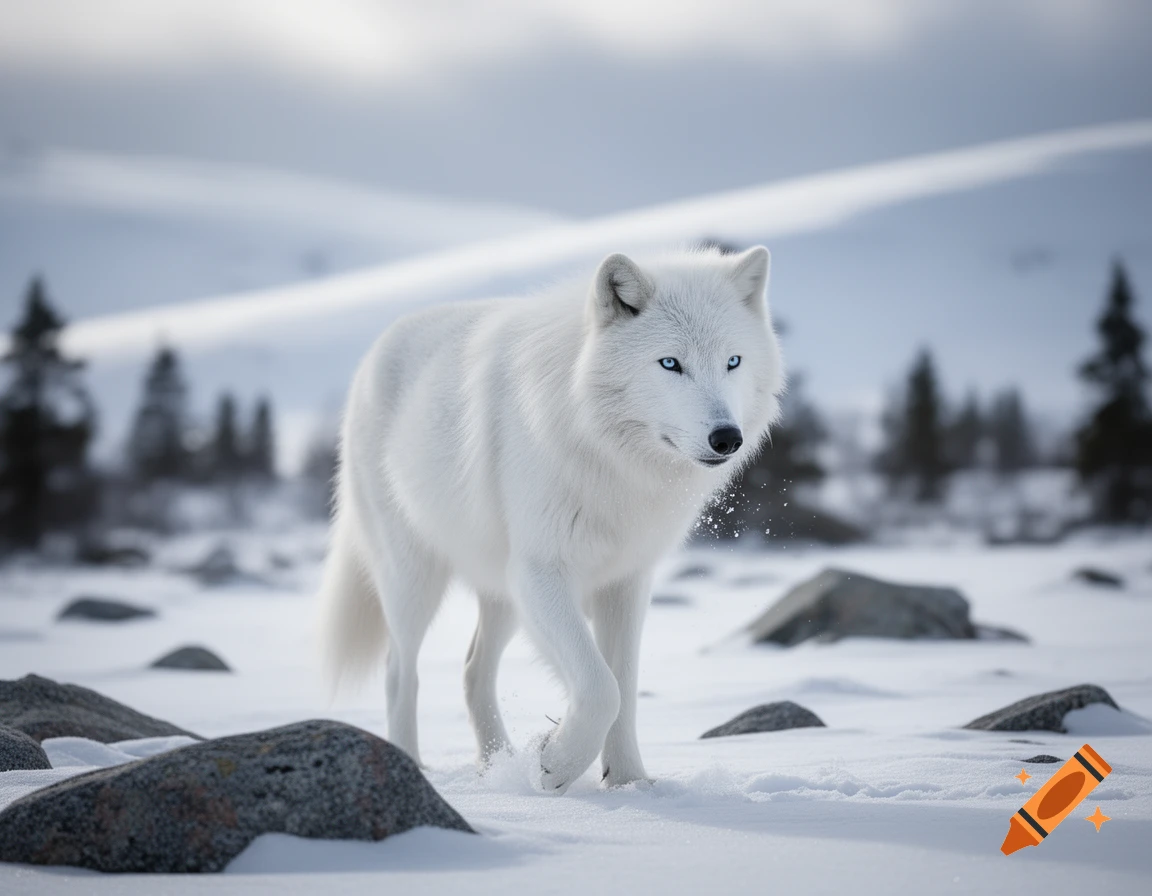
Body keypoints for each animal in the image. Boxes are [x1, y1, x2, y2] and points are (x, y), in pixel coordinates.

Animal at [320, 246, 784, 793]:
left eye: (733, 361)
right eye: (671, 363)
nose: (726, 437)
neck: (612, 459)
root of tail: (377, 348)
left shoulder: (626, 582)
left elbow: (624, 685)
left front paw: (629, 783)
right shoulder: (543, 572)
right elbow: (602, 687)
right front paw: (558, 763)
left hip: (501, 591)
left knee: (473, 671)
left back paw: (495, 766)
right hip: (416, 578)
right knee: (399, 671)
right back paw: (411, 765)